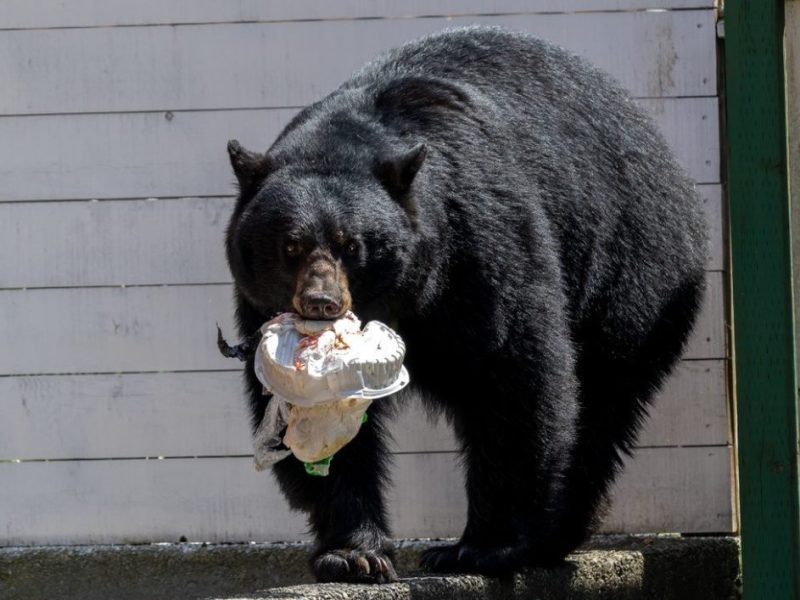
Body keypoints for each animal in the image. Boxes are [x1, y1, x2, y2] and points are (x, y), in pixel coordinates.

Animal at [223, 26, 707, 583]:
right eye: (291, 246)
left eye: (353, 245)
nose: (321, 302)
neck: (407, 297)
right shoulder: (259, 310)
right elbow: (313, 419)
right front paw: (354, 554)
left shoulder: (479, 246)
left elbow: (513, 376)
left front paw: (479, 547)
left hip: (630, 279)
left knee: (600, 406)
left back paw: (553, 534)